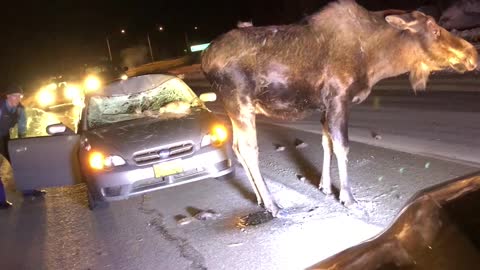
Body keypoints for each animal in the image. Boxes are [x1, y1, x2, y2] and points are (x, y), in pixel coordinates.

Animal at [201, 0, 478, 216]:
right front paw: (348, 197)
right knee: (248, 149)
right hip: (240, 104)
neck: (376, 61)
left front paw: (325, 186)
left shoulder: (325, 105)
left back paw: (260, 199)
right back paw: (272, 205)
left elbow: (327, 143)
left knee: (236, 147)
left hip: (235, 110)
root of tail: (204, 61)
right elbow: (342, 146)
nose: (473, 54)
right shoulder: (339, 98)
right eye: (434, 28)